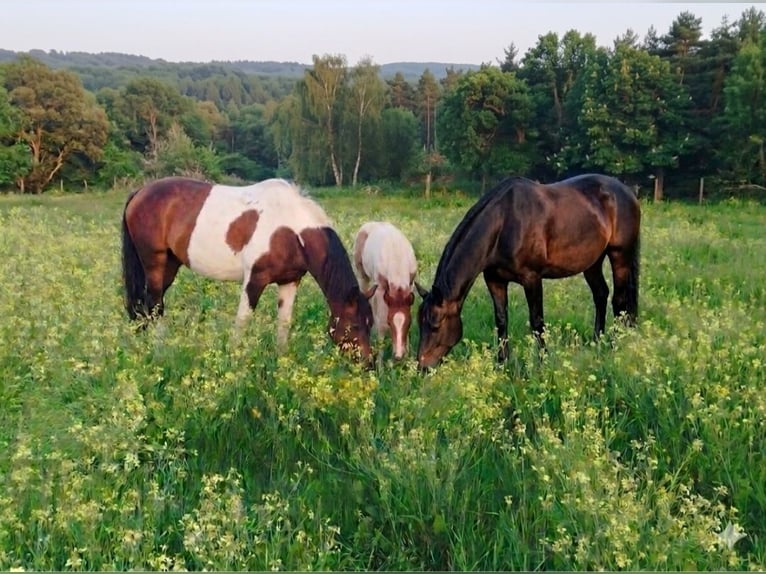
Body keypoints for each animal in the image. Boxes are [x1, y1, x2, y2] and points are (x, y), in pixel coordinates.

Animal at [121, 176, 375, 360]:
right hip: (154, 263)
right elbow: (242, 322)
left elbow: (284, 324)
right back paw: (159, 350)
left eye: (370, 324)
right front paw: (235, 361)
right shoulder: (254, 280)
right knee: (154, 306)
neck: (291, 230)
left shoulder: (290, 281)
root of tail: (140, 192)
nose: (367, 363)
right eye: (354, 325)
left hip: (170, 266)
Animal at [352, 221, 417, 360]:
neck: (397, 258)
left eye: (409, 323)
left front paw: (408, 358)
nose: (398, 356)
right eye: (389, 322)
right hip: (363, 276)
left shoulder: (411, 285)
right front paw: (380, 363)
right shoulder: (380, 288)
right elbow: (381, 323)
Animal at [415, 173, 641, 370]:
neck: (504, 223)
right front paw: (502, 363)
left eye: (435, 326)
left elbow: (537, 322)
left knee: (619, 302)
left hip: (619, 255)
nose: (422, 367)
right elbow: (501, 320)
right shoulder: (494, 279)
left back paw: (613, 347)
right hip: (592, 261)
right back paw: (596, 342)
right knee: (601, 294)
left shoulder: (532, 278)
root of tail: (627, 193)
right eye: (419, 323)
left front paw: (542, 363)